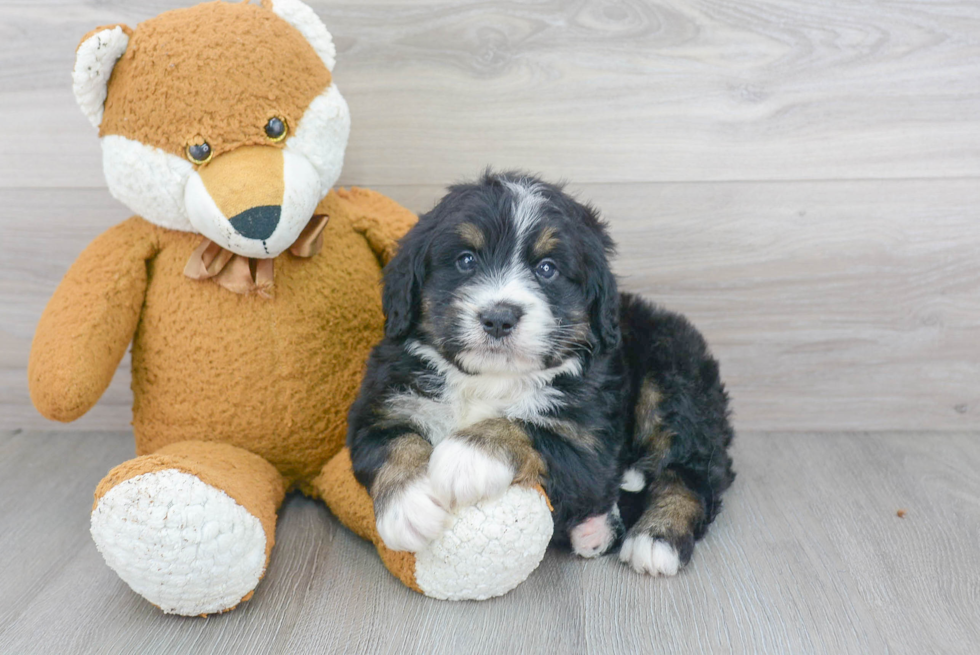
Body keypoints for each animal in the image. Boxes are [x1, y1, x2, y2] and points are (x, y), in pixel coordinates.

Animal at [346, 172, 736, 576]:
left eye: (546, 268)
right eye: (466, 260)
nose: (499, 317)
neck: (488, 379)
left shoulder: (589, 444)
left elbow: (527, 429)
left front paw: (466, 455)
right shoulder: (382, 404)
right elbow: (393, 443)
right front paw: (408, 505)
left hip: (672, 375)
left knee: (690, 473)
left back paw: (657, 537)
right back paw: (595, 529)